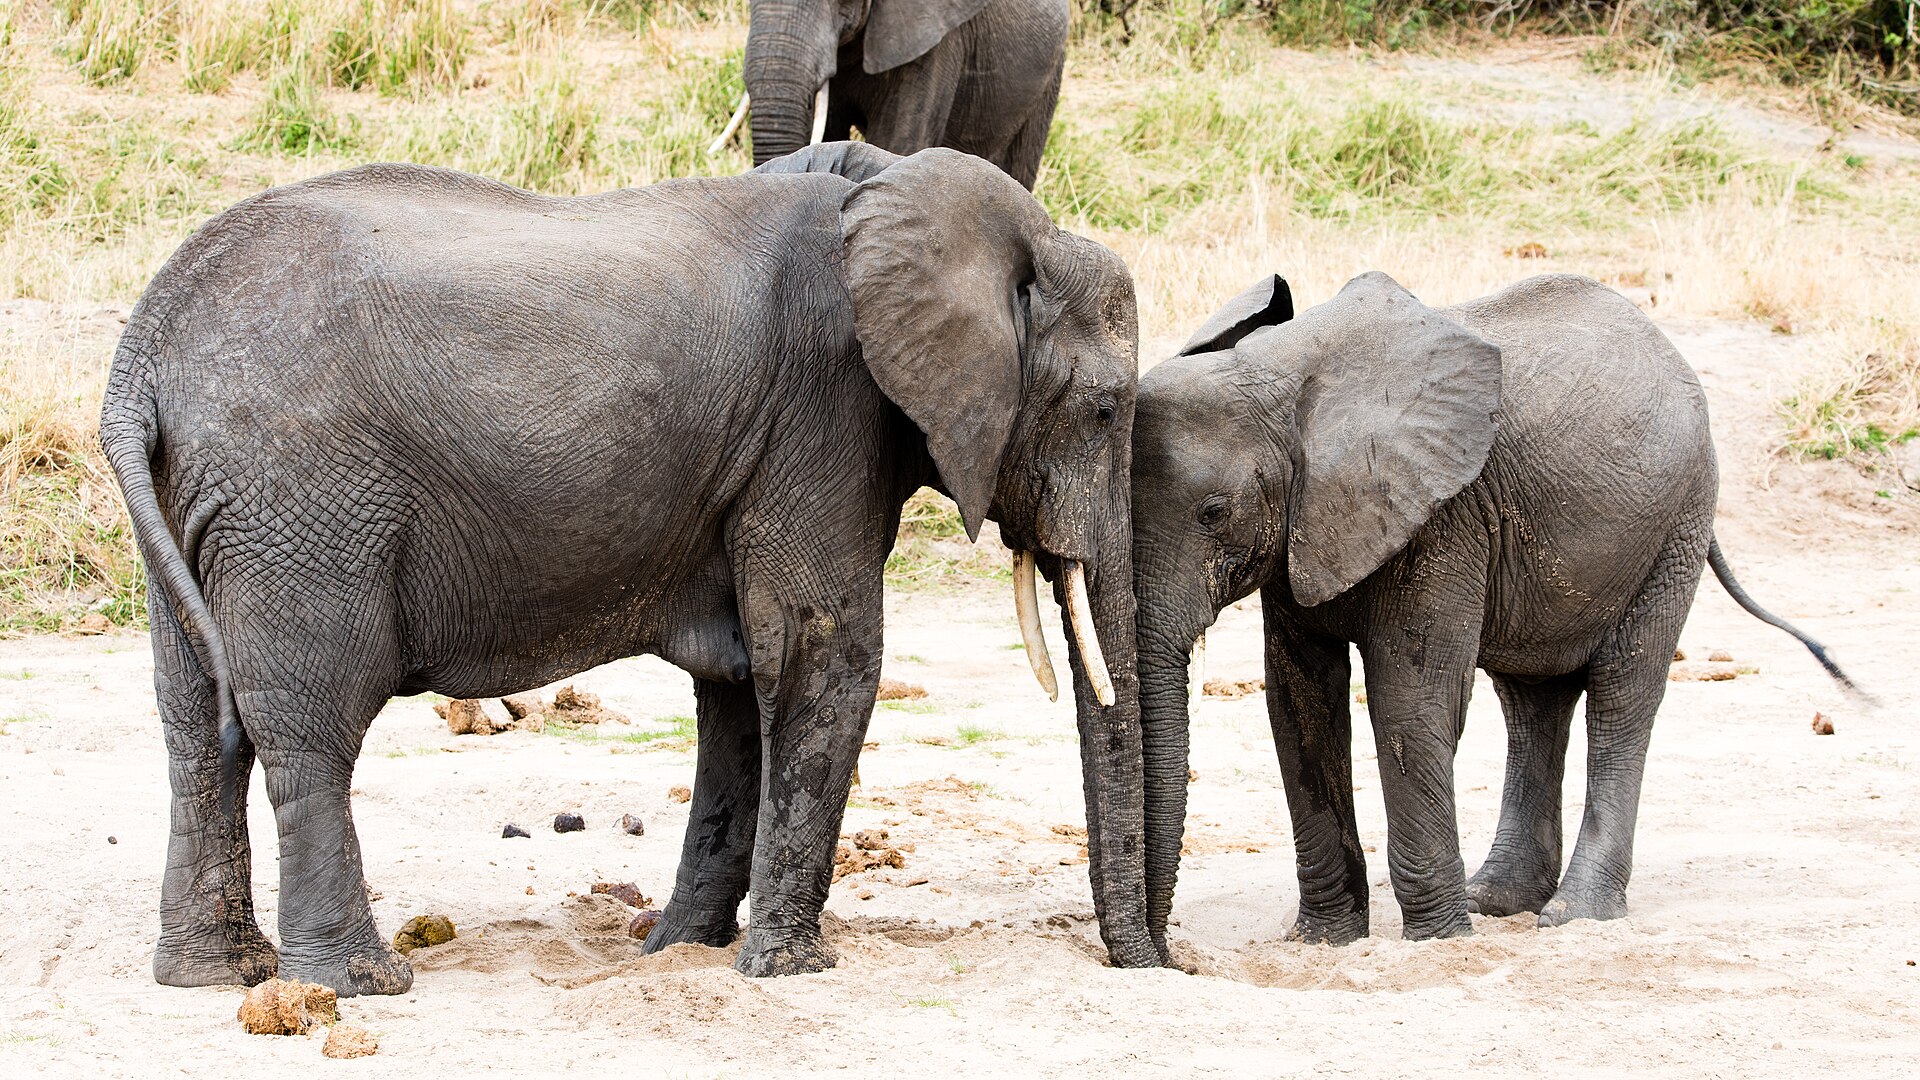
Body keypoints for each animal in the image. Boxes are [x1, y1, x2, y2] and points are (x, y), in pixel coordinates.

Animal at [100, 141, 1163, 996]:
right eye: (1107, 411)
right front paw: (791, 971)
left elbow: (740, 685)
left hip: (202, 506)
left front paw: (678, 953)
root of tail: (142, 354)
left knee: (198, 725)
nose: (1152, 965)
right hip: (304, 503)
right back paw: (360, 985)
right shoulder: (824, 416)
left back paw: (214, 977)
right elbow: (821, 656)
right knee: (309, 726)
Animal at [1128, 271, 1859, 946]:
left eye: (1213, 511)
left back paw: (1571, 914)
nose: (1172, 952)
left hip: (1677, 524)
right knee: (1532, 702)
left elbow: (1411, 703)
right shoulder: (1301, 538)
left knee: (1622, 695)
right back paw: (1498, 902)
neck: (1282, 375)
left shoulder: (1444, 517)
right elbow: (1300, 707)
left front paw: (1438, 942)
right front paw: (1326, 941)